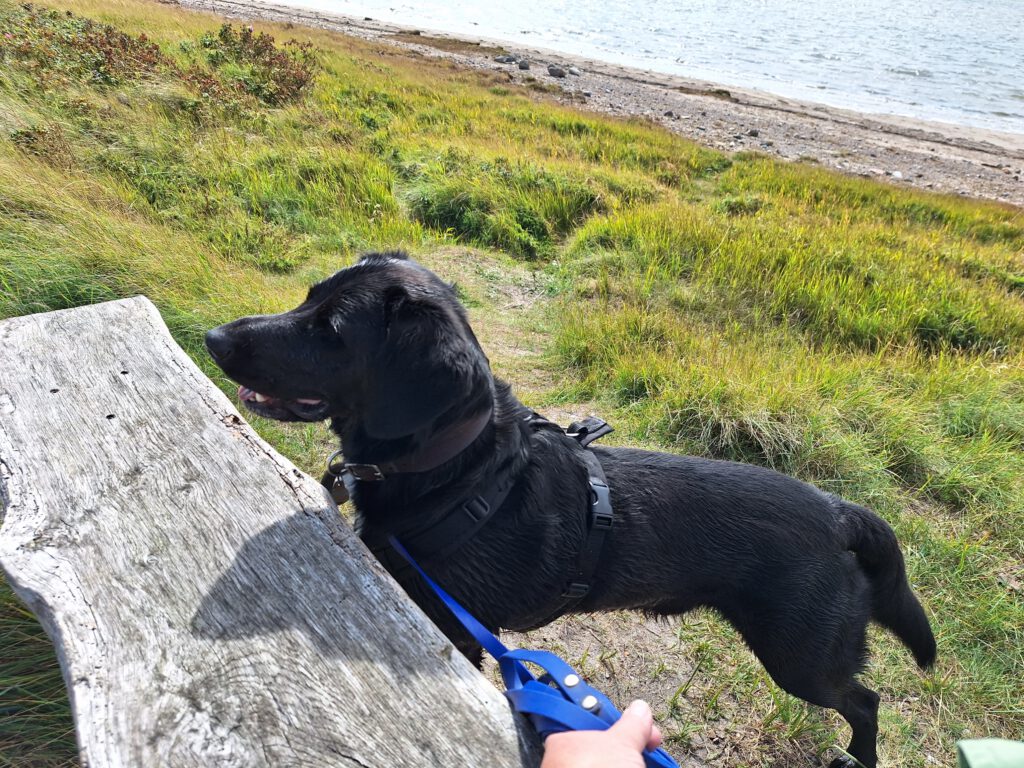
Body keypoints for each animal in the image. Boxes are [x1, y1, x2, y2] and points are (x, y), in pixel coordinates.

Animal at [205, 253, 937, 768]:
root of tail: (840, 511)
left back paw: (857, 758)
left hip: (801, 656)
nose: (213, 336)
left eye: (331, 331)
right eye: (307, 296)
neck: (458, 469)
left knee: (865, 701)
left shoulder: (456, 623)